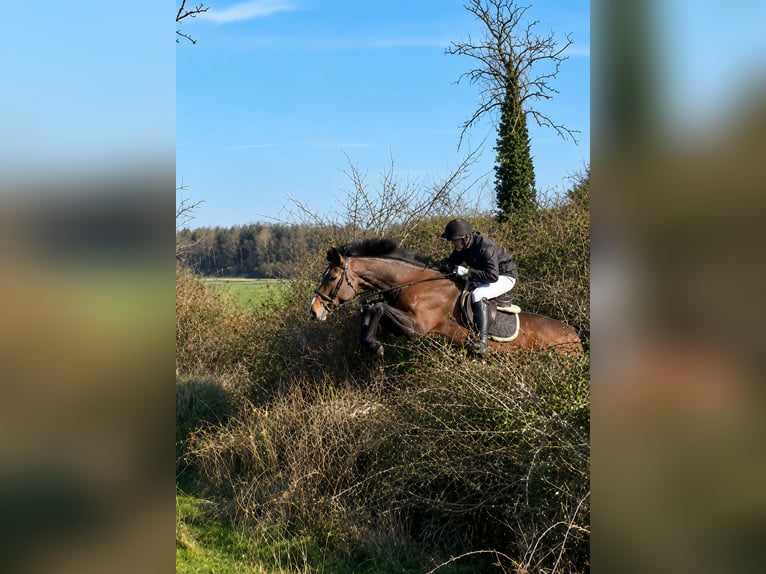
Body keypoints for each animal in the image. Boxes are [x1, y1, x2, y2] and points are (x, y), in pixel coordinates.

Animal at [309, 238, 583, 355]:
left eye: (331, 278)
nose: (314, 310)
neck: (412, 283)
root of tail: (575, 335)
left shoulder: (418, 327)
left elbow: (377, 307)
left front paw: (374, 345)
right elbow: (371, 307)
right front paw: (369, 342)